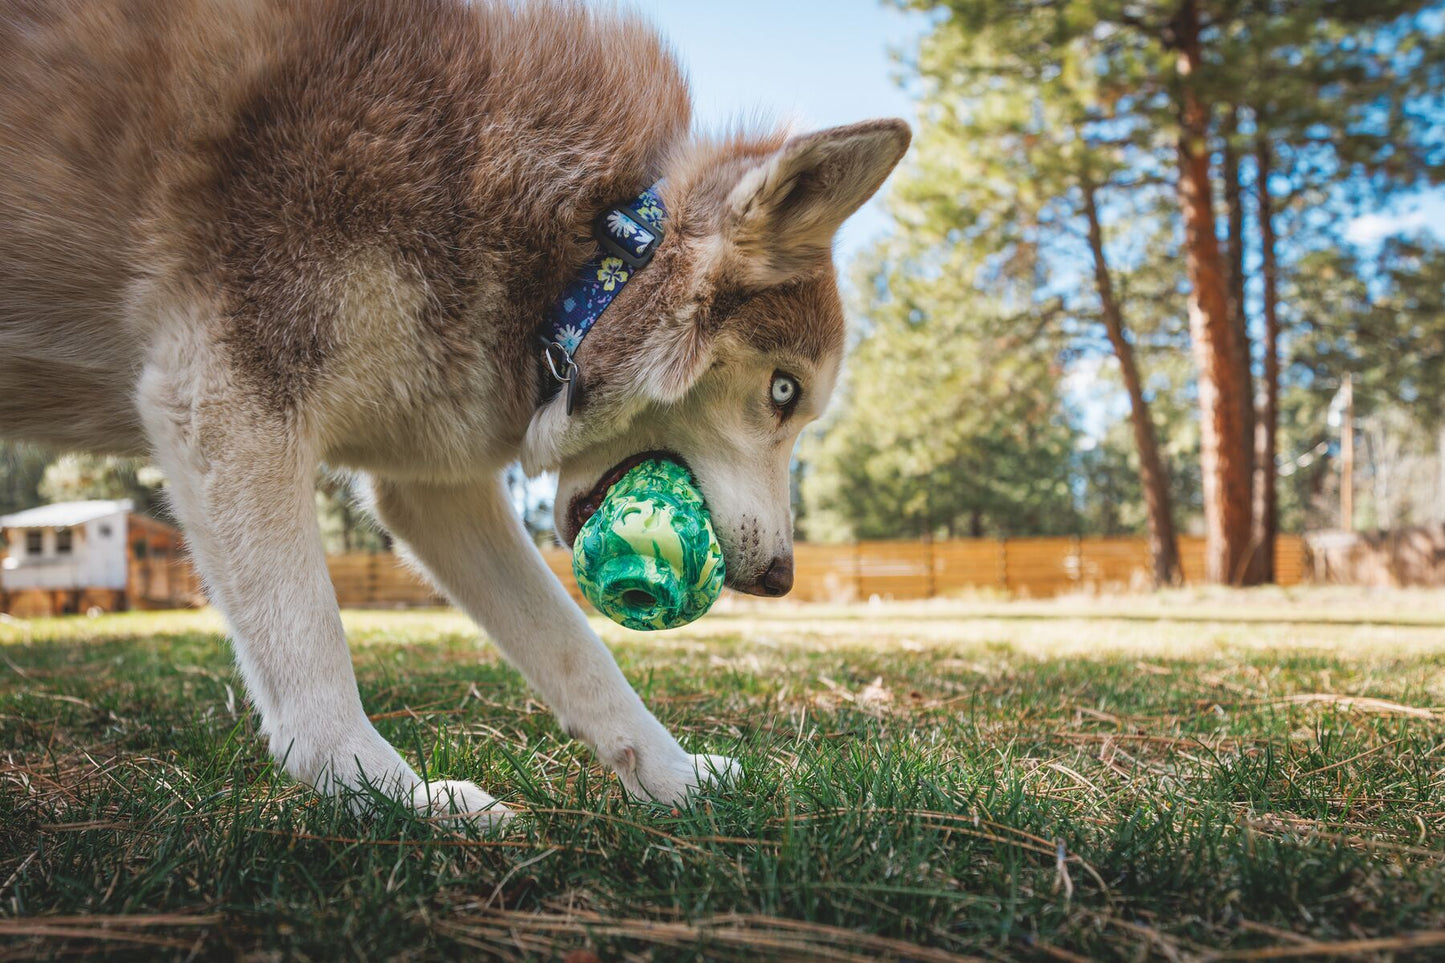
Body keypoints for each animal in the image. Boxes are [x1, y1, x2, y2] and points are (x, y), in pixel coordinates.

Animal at [0, 0, 907, 815]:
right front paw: (392, 797)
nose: (782, 576)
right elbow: (313, 662)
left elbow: (578, 652)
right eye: (784, 391)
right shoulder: (225, 396)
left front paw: (673, 778)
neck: (585, 249)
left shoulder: (433, 490)